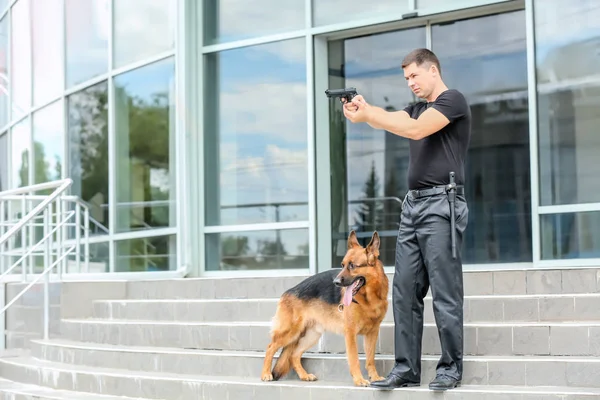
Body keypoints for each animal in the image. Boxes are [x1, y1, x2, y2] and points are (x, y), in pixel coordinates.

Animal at [260, 231, 386, 388]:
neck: (369, 299)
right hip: (290, 332)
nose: (336, 282)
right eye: (342, 265)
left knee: (294, 355)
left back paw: (304, 375)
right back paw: (266, 374)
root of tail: (288, 292)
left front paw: (375, 378)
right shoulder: (350, 334)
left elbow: (370, 359)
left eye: (352, 266)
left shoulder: (372, 333)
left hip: (311, 335)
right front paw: (359, 380)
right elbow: (354, 359)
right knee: (270, 347)